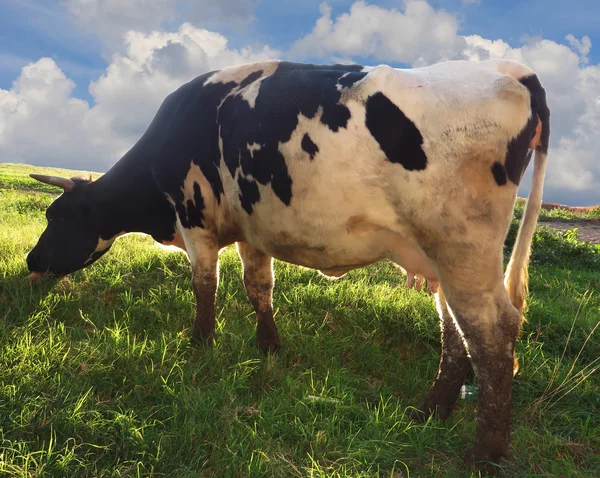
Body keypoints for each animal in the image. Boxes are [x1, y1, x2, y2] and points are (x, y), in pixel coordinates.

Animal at [25, 58, 548, 464]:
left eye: (57, 215)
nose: (31, 259)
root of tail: (514, 70)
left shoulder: (196, 221)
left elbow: (204, 286)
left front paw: (200, 343)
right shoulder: (252, 229)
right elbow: (258, 286)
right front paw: (269, 346)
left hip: (463, 247)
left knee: (492, 334)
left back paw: (485, 451)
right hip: (440, 256)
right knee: (456, 331)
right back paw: (430, 412)